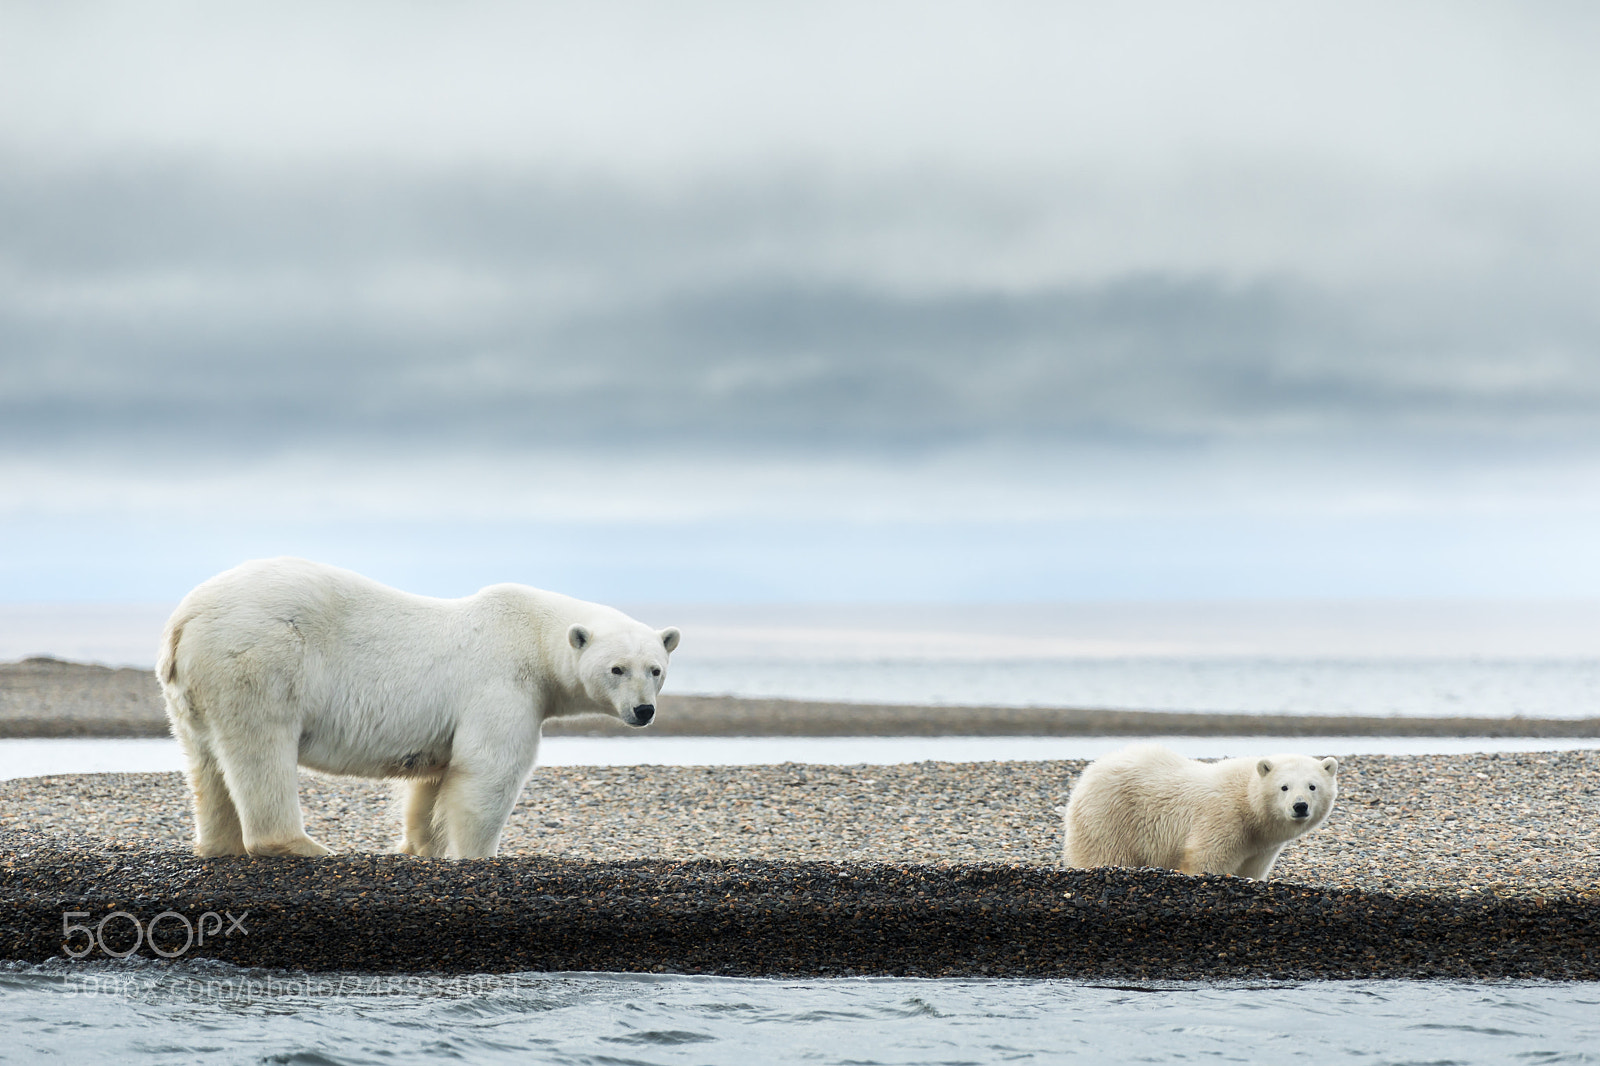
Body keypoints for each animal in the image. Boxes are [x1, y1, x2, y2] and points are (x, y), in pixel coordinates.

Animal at [156, 557, 680, 860]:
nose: (643, 711)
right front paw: (476, 855)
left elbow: (432, 784)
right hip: (258, 657)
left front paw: (422, 846)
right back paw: (304, 846)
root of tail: (184, 620)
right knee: (261, 745)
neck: (531, 636)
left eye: (656, 669)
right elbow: (489, 770)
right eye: (616, 668)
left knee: (205, 762)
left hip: (190, 690)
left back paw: (218, 845)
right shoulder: (503, 685)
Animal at [1053, 743, 1338, 879]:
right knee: (1105, 853)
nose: (1299, 806)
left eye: (1312, 786)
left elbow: (1250, 871)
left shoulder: (1261, 848)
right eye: (1284, 786)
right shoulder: (1222, 818)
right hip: (1110, 815)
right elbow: (1206, 859)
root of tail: (1086, 776)